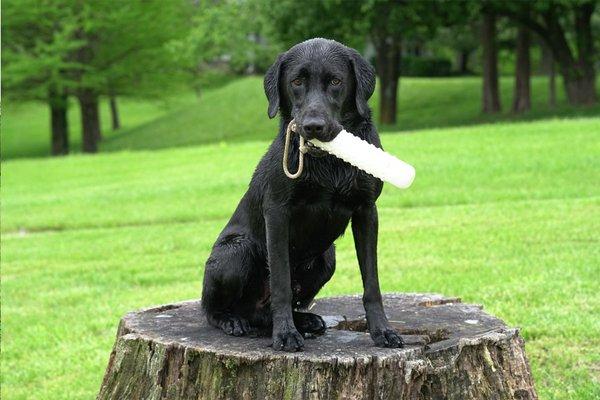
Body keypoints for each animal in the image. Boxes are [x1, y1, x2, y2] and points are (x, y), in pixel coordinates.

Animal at [202, 36, 404, 350]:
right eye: (296, 81)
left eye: (335, 81)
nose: (313, 127)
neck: (329, 162)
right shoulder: (277, 213)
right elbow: (281, 283)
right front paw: (285, 335)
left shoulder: (367, 211)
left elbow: (372, 283)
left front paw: (382, 331)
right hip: (235, 252)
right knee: (211, 309)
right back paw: (233, 321)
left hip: (326, 258)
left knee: (263, 313)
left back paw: (306, 321)